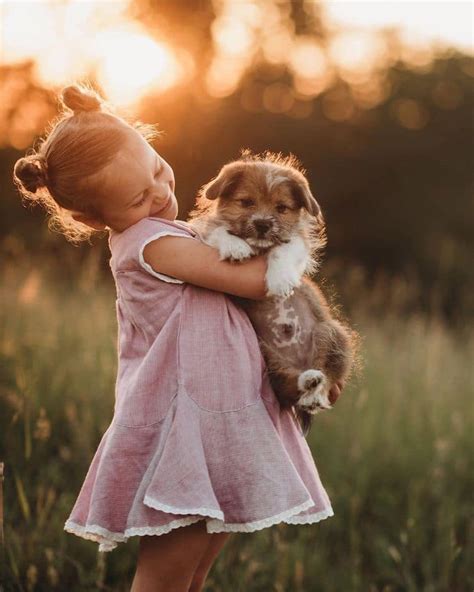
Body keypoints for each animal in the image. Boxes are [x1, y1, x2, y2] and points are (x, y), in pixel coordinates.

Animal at [187, 150, 358, 432]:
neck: (259, 247)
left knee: (327, 375)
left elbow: (284, 248)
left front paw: (280, 279)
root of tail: (299, 362)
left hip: (332, 333)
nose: (263, 224)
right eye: (246, 202)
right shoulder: (206, 234)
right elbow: (220, 231)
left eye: (281, 208)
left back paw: (315, 391)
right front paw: (235, 247)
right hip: (268, 356)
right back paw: (307, 382)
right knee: (289, 385)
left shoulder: (297, 242)